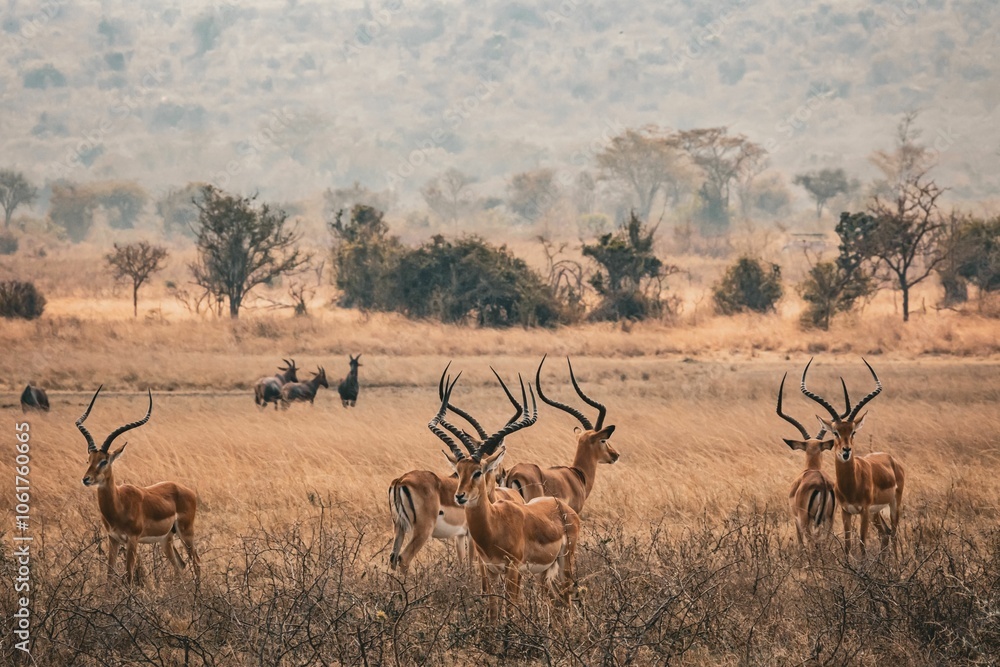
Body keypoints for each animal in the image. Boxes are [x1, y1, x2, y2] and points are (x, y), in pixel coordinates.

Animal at [77, 387, 200, 586]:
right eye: (89, 460)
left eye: (104, 461)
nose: (86, 479)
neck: (119, 504)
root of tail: (185, 489)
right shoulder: (113, 539)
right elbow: (109, 575)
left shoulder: (132, 541)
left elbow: (128, 576)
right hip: (166, 538)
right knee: (180, 565)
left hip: (186, 532)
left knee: (196, 562)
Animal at [388, 365, 524, 573]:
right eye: (491, 466)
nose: (502, 475)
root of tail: (400, 481)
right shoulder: (471, 536)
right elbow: (471, 563)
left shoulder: (459, 536)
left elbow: (462, 563)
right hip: (421, 530)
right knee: (404, 558)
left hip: (399, 528)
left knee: (393, 558)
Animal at [435, 374, 580, 621]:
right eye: (459, 471)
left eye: (478, 472)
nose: (460, 496)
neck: (494, 525)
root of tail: (562, 507)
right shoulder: (490, 570)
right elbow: (493, 611)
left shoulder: (512, 570)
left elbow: (511, 611)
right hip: (543, 572)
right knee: (556, 602)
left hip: (565, 563)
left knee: (567, 600)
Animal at [776, 372, 836, 547]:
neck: (812, 468)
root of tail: (823, 483)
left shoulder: (796, 520)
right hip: (830, 520)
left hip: (806, 520)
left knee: (811, 543)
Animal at [801, 358, 905, 555]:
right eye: (835, 432)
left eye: (853, 432)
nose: (846, 450)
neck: (852, 484)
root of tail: (891, 459)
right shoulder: (846, 512)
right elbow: (848, 545)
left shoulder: (863, 511)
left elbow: (862, 545)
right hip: (875, 513)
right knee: (885, 533)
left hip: (894, 504)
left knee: (895, 534)